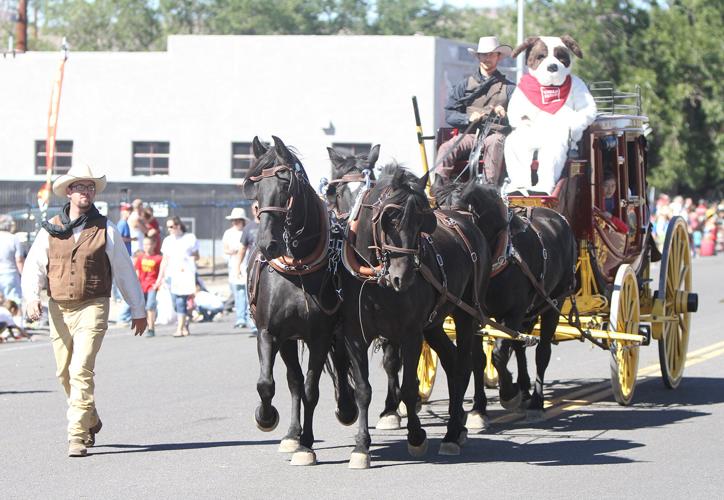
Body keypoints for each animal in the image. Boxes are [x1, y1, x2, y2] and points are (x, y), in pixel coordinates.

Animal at [242, 136, 358, 464]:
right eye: (255, 187)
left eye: (285, 186)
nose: (266, 244)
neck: (297, 270)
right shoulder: (270, 333)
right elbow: (270, 384)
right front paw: (268, 418)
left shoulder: (320, 335)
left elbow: (311, 388)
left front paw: (307, 444)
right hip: (289, 339)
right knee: (293, 379)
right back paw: (292, 434)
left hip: (337, 331)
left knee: (338, 367)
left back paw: (346, 408)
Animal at [338, 164, 486, 468]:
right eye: (388, 220)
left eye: (422, 222)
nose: (402, 277)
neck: (376, 281)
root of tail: (462, 218)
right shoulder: (355, 336)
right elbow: (363, 389)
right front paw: (361, 446)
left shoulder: (410, 334)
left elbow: (409, 387)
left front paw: (416, 436)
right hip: (434, 323)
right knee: (451, 361)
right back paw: (458, 425)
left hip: (466, 313)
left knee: (464, 365)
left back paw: (452, 433)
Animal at [436, 181, 576, 422]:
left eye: (461, 220)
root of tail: (560, 218)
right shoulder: (475, 314)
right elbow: (478, 359)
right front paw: (479, 408)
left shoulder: (513, 312)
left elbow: (500, 355)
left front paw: (509, 394)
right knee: (520, 346)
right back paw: (525, 389)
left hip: (555, 302)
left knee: (542, 352)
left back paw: (536, 402)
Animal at [504, 35, 600, 194]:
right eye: (540, 57)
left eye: (561, 57)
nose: (552, 67)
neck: (548, 87)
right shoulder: (520, 95)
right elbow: (516, 113)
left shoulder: (580, 88)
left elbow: (586, 110)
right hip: (522, 143)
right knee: (519, 151)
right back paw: (519, 187)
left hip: (553, 145)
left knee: (550, 159)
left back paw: (540, 189)